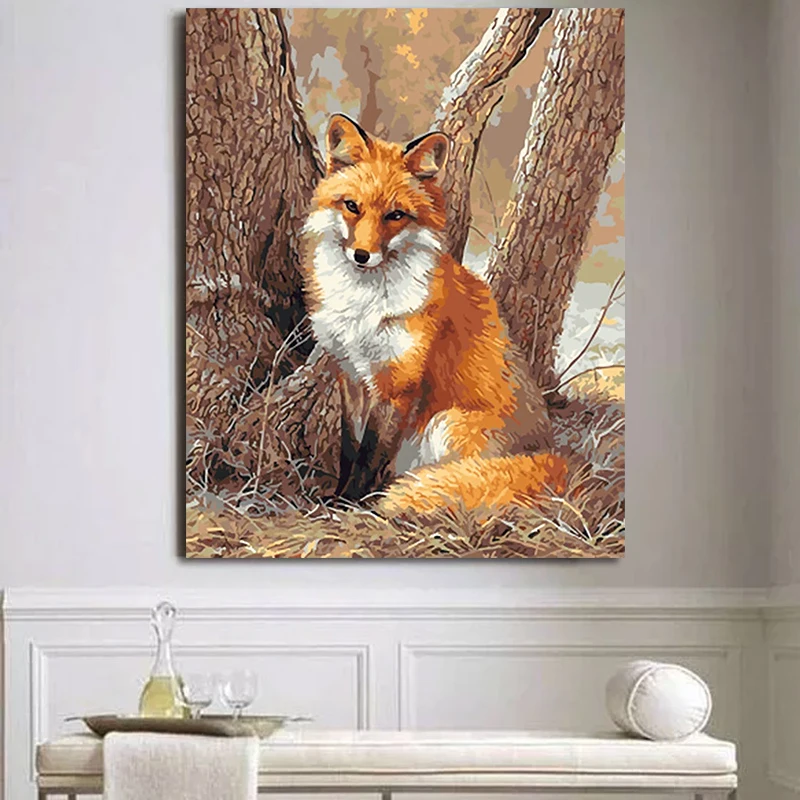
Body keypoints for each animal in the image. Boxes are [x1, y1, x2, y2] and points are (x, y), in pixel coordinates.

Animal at [301, 114, 568, 515]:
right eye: (352, 206)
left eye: (395, 215)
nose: (362, 255)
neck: (363, 307)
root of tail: (552, 456)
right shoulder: (350, 373)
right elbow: (350, 448)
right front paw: (338, 495)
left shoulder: (397, 384)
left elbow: (369, 454)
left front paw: (350, 504)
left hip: (447, 422)